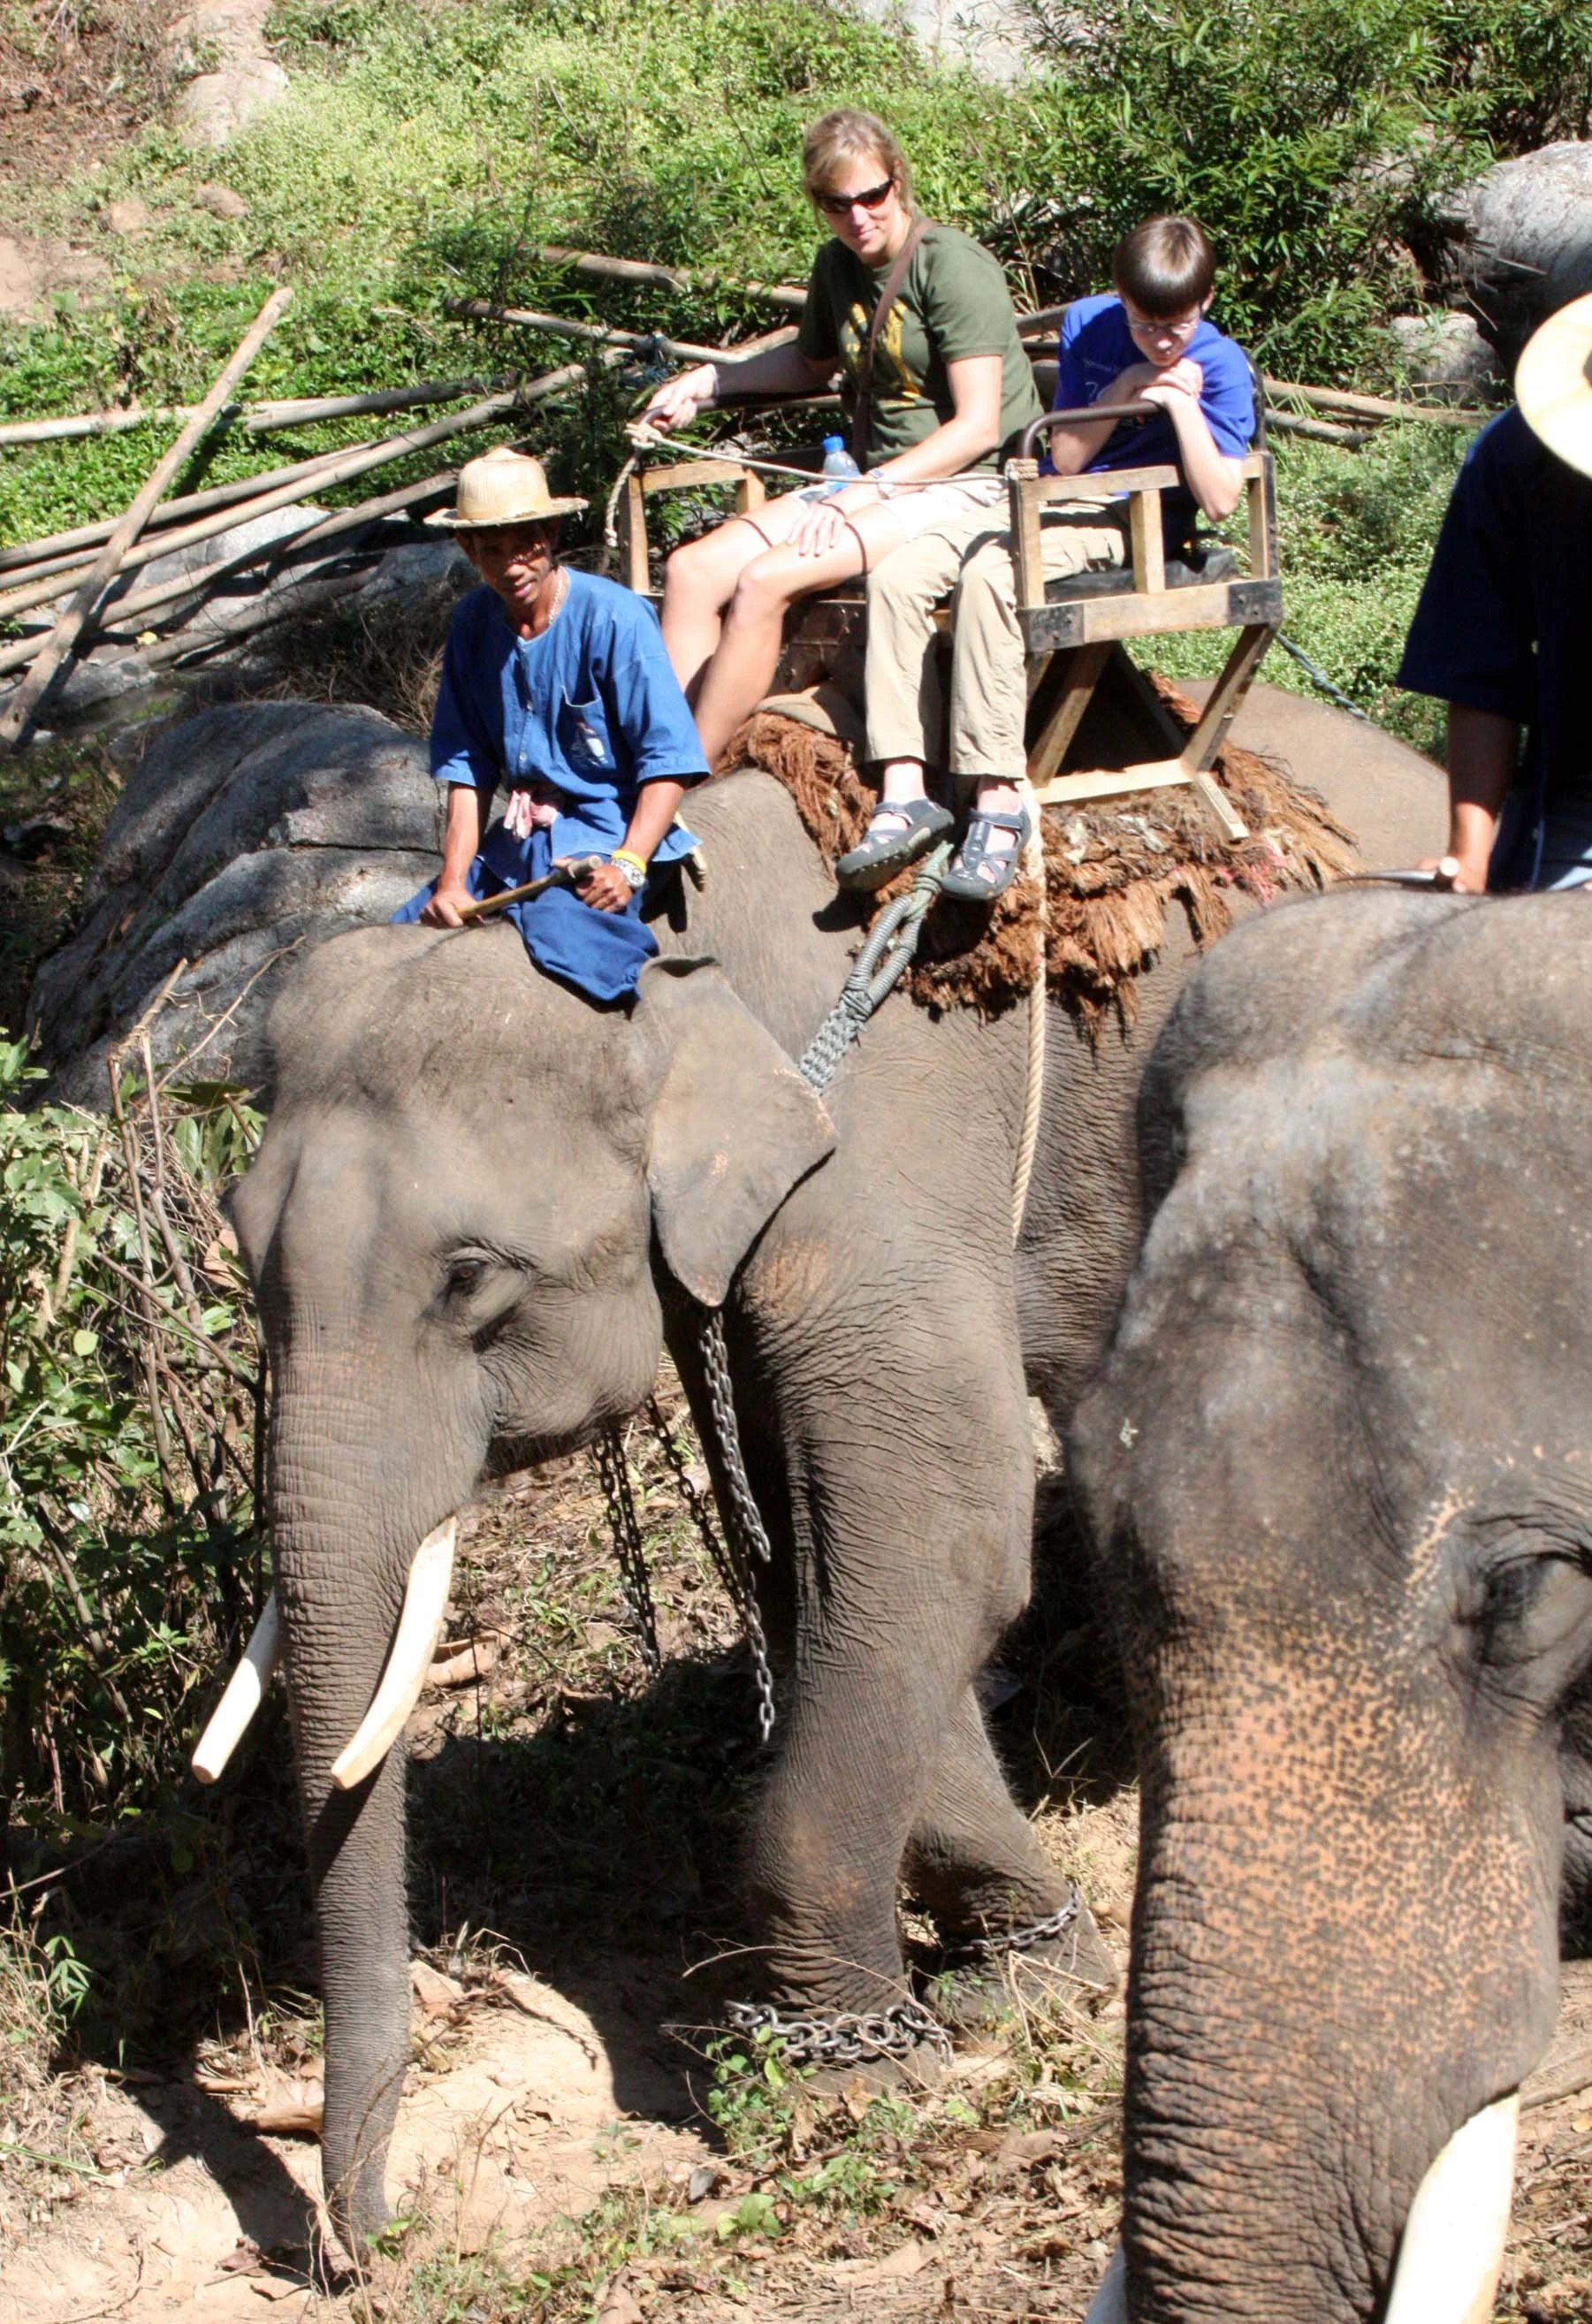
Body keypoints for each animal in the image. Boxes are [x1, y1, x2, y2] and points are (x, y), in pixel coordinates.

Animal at [211, 683, 1440, 2251]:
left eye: (469, 1277)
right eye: (242, 1249)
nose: (366, 2242)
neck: (660, 936)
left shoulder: (874, 1181)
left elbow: (943, 1537)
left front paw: (845, 2071)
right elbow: (832, 1565)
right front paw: (1021, 1969)